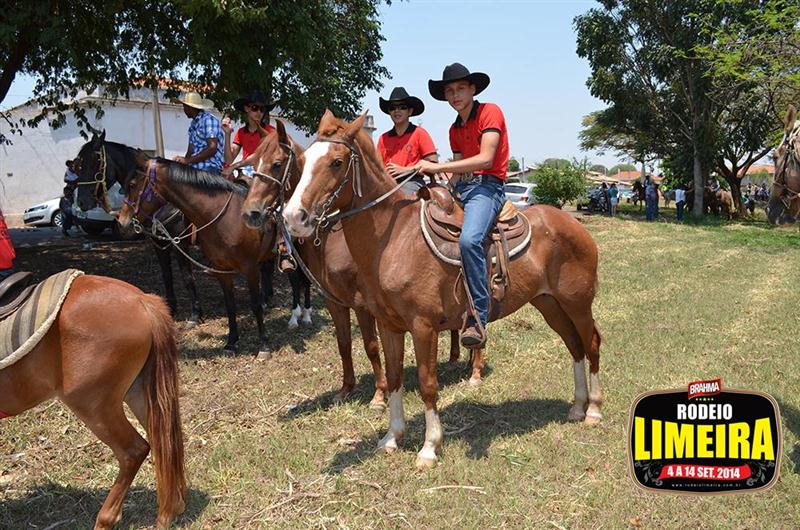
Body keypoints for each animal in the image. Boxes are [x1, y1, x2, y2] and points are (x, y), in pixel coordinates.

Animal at [0, 274, 185, 529]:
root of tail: (142, 300)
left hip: (93, 405)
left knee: (134, 450)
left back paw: (106, 518)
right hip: (141, 394)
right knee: (164, 442)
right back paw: (171, 510)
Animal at [73, 132, 205, 323]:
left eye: (94, 162)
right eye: (78, 165)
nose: (82, 202)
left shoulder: (179, 243)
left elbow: (187, 276)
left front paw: (195, 314)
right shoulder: (159, 243)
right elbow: (167, 275)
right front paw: (171, 310)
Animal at [112, 148, 276, 357]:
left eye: (132, 185)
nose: (121, 222)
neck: (227, 218)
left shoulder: (249, 267)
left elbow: (253, 304)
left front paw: (264, 344)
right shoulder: (220, 268)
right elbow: (229, 304)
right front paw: (231, 342)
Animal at [283, 111, 602, 469]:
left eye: (336, 162)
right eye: (302, 161)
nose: (294, 217)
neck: (394, 240)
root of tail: (572, 223)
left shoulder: (423, 327)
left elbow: (427, 384)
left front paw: (429, 447)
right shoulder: (388, 325)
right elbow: (395, 377)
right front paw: (391, 438)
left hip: (577, 302)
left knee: (591, 343)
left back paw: (593, 409)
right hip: (549, 304)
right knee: (574, 345)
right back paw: (576, 407)